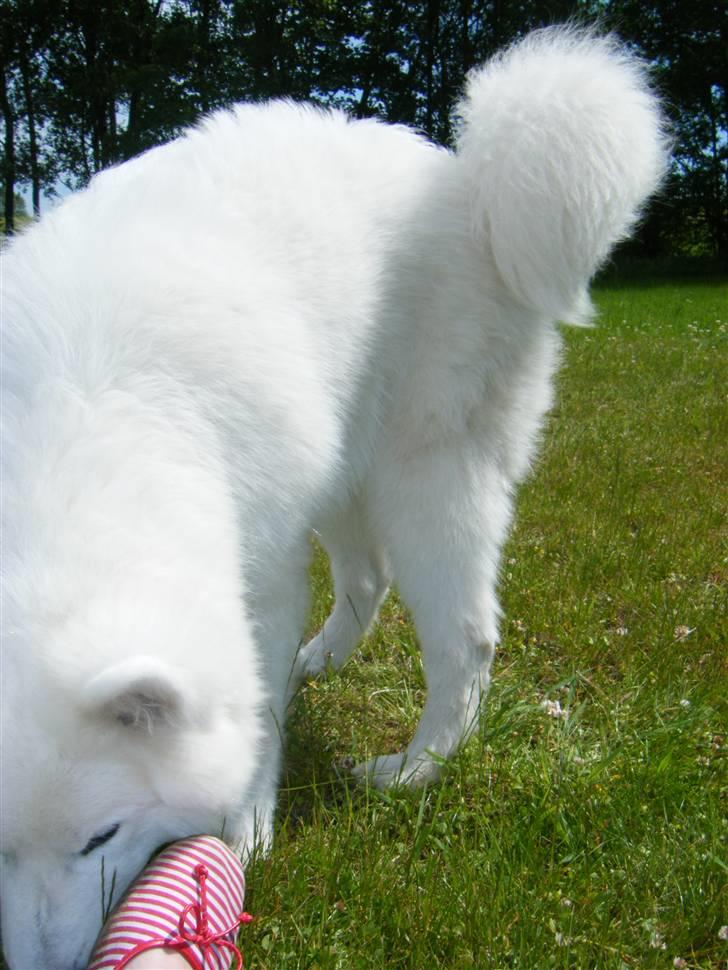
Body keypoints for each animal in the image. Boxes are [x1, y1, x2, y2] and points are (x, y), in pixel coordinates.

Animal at [0, 26, 668, 968]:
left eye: (101, 838)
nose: (38, 966)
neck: (78, 427)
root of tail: (466, 176)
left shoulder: (261, 569)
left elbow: (251, 717)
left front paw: (245, 828)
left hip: (426, 478)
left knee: (466, 641)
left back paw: (413, 770)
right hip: (343, 468)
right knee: (366, 577)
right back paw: (319, 662)